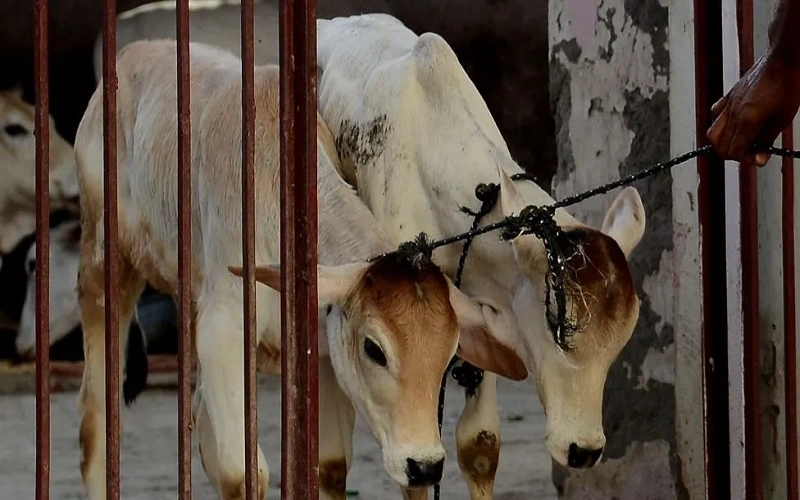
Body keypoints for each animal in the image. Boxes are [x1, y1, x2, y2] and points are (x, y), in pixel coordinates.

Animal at [73, 39, 526, 499]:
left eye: (450, 354)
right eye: (374, 349)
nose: (425, 466)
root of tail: (133, 51)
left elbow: (327, 465)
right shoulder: (223, 331)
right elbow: (242, 474)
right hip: (104, 267)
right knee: (95, 427)